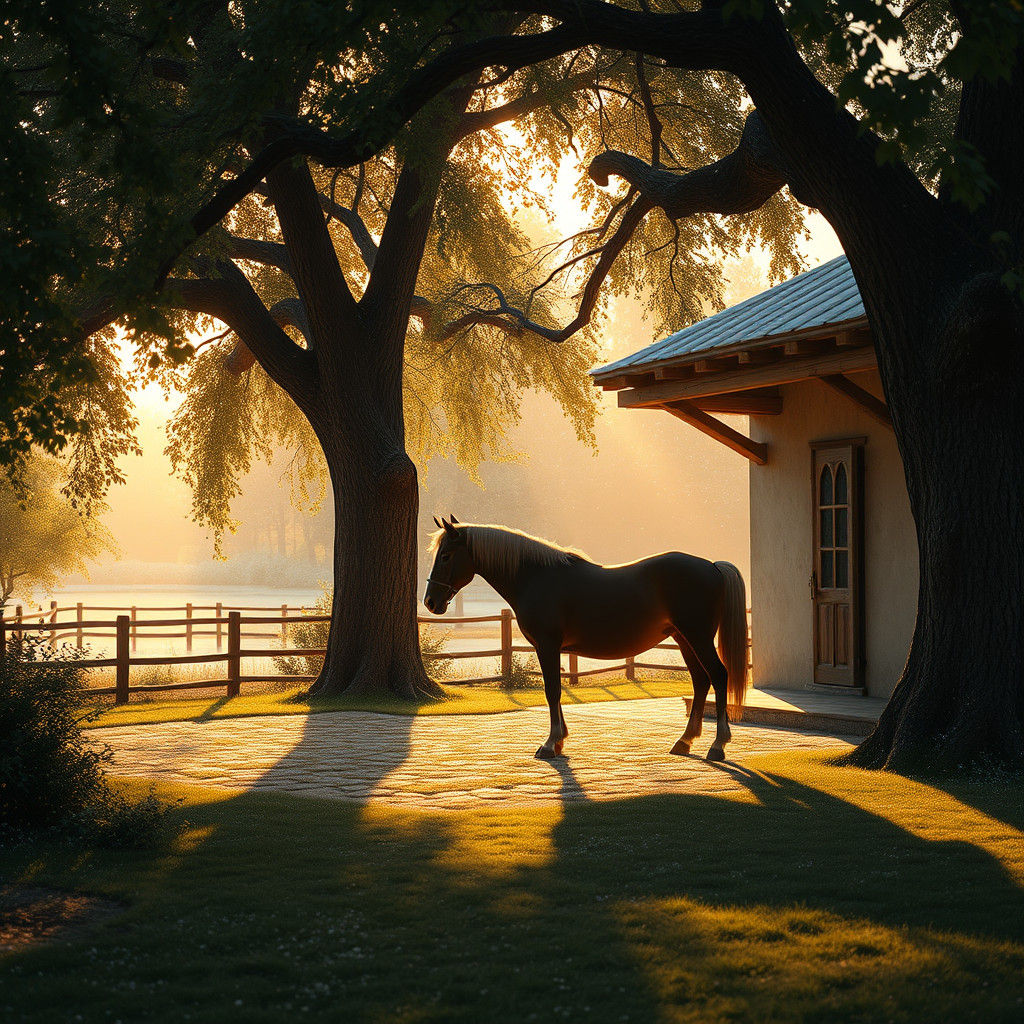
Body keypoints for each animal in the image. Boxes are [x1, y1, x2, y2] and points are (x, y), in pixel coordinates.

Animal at [424, 517, 749, 761]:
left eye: (446, 556)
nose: (430, 602)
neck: (535, 577)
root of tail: (712, 566)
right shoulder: (551, 648)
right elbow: (555, 690)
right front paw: (559, 741)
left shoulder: (547, 646)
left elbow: (552, 690)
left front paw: (549, 744)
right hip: (684, 639)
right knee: (700, 680)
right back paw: (684, 741)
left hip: (698, 637)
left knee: (718, 676)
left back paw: (717, 746)